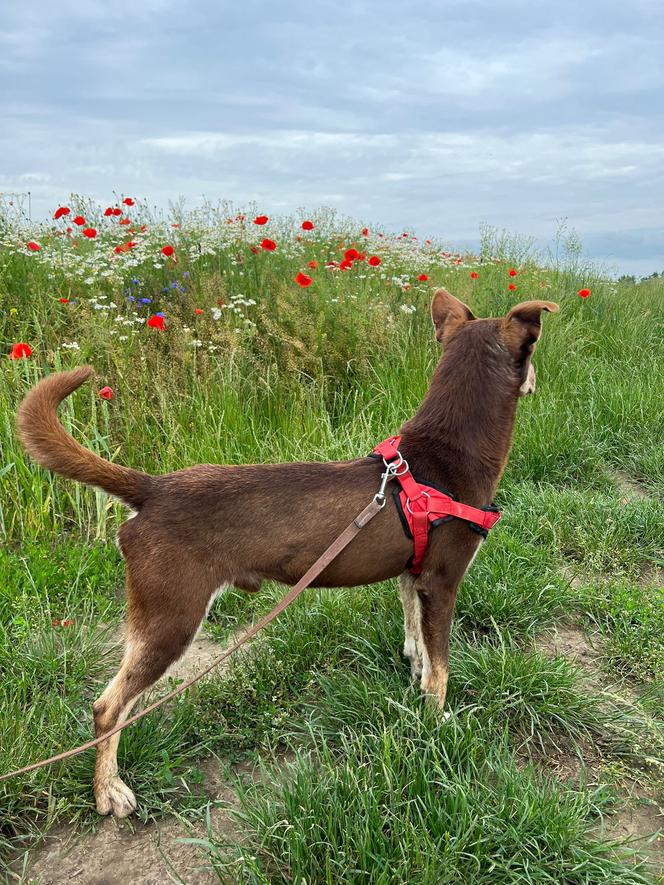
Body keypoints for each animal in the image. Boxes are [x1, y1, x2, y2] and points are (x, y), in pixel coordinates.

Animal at [15, 290, 556, 816]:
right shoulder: (442, 583)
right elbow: (441, 671)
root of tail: (153, 489)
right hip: (171, 620)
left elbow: (418, 646)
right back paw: (108, 791)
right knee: (108, 707)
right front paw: (437, 728)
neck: (444, 455)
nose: (536, 383)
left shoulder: (414, 577)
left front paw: (416, 679)